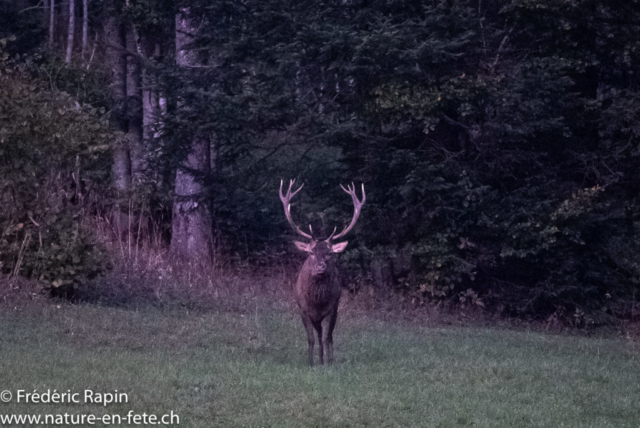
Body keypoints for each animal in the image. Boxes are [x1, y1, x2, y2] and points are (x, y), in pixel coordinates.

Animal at [279, 179, 365, 366]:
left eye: (330, 253)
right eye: (311, 252)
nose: (320, 267)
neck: (317, 302)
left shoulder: (332, 308)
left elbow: (327, 337)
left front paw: (329, 362)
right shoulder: (303, 310)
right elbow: (311, 338)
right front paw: (311, 363)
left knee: (325, 335)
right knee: (317, 335)